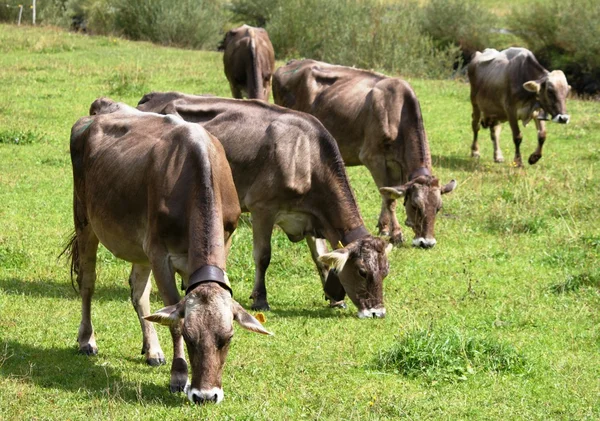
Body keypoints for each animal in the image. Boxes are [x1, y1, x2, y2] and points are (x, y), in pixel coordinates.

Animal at [63, 99, 270, 404]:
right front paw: (179, 376)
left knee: (138, 292)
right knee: (88, 282)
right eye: (190, 336)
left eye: (228, 337)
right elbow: (172, 315)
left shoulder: (223, 241)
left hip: (138, 246)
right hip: (84, 219)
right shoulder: (159, 253)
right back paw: (87, 340)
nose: (206, 396)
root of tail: (103, 106)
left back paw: (152, 350)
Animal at [135, 91, 394, 316]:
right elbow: (263, 255)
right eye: (362, 272)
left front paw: (335, 299)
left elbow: (321, 258)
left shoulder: (310, 216)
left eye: (385, 272)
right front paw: (260, 298)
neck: (306, 156)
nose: (376, 312)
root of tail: (153, 97)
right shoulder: (262, 208)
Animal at [272, 60, 454, 249]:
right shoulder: (373, 158)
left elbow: (390, 194)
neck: (397, 113)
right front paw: (396, 234)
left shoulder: (396, 165)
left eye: (438, 208)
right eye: (416, 206)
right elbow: (389, 198)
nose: (426, 242)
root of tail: (293, 62)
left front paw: (384, 227)